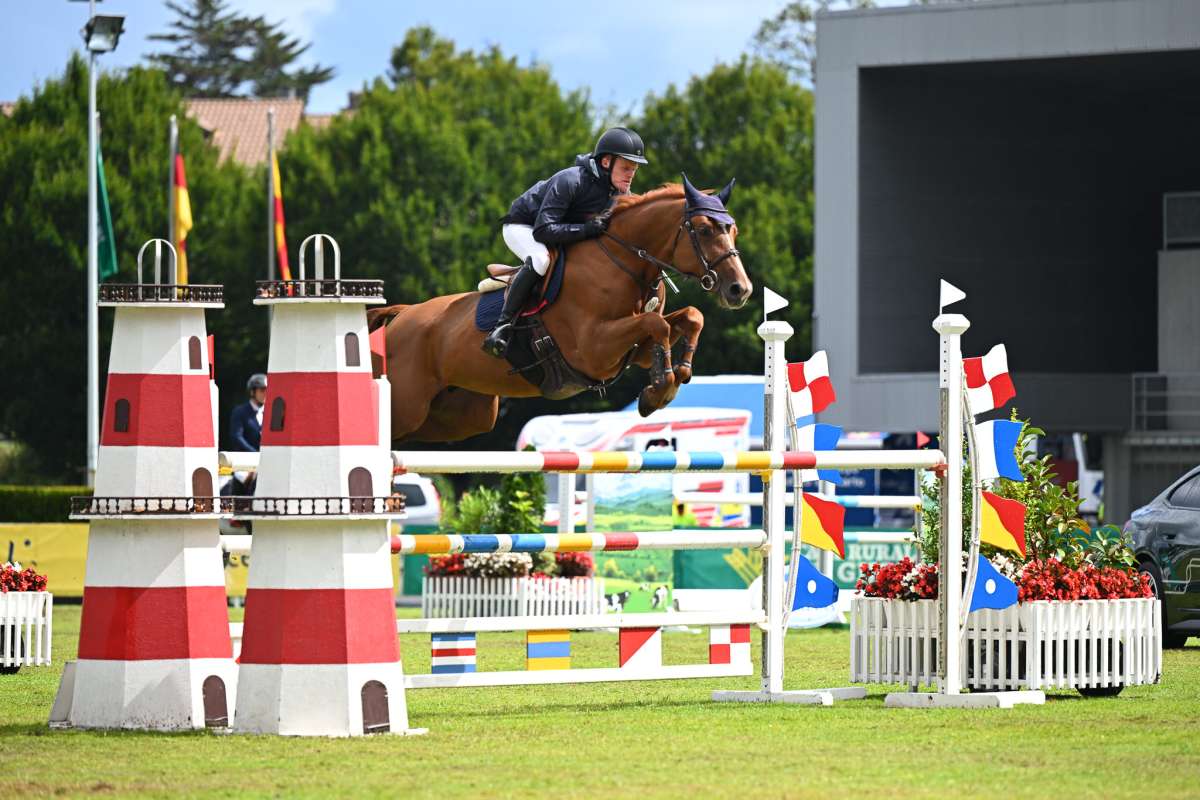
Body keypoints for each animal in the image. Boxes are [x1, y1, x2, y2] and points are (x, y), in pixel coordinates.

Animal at [369, 173, 753, 443]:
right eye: (703, 230)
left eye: (733, 229)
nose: (740, 290)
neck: (624, 260)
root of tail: (402, 316)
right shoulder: (594, 350)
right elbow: (656, 324)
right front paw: (659, 390)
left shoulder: (634, 350)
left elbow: (688, 318)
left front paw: (677, 374)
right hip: (410, 403)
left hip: (463, 415)